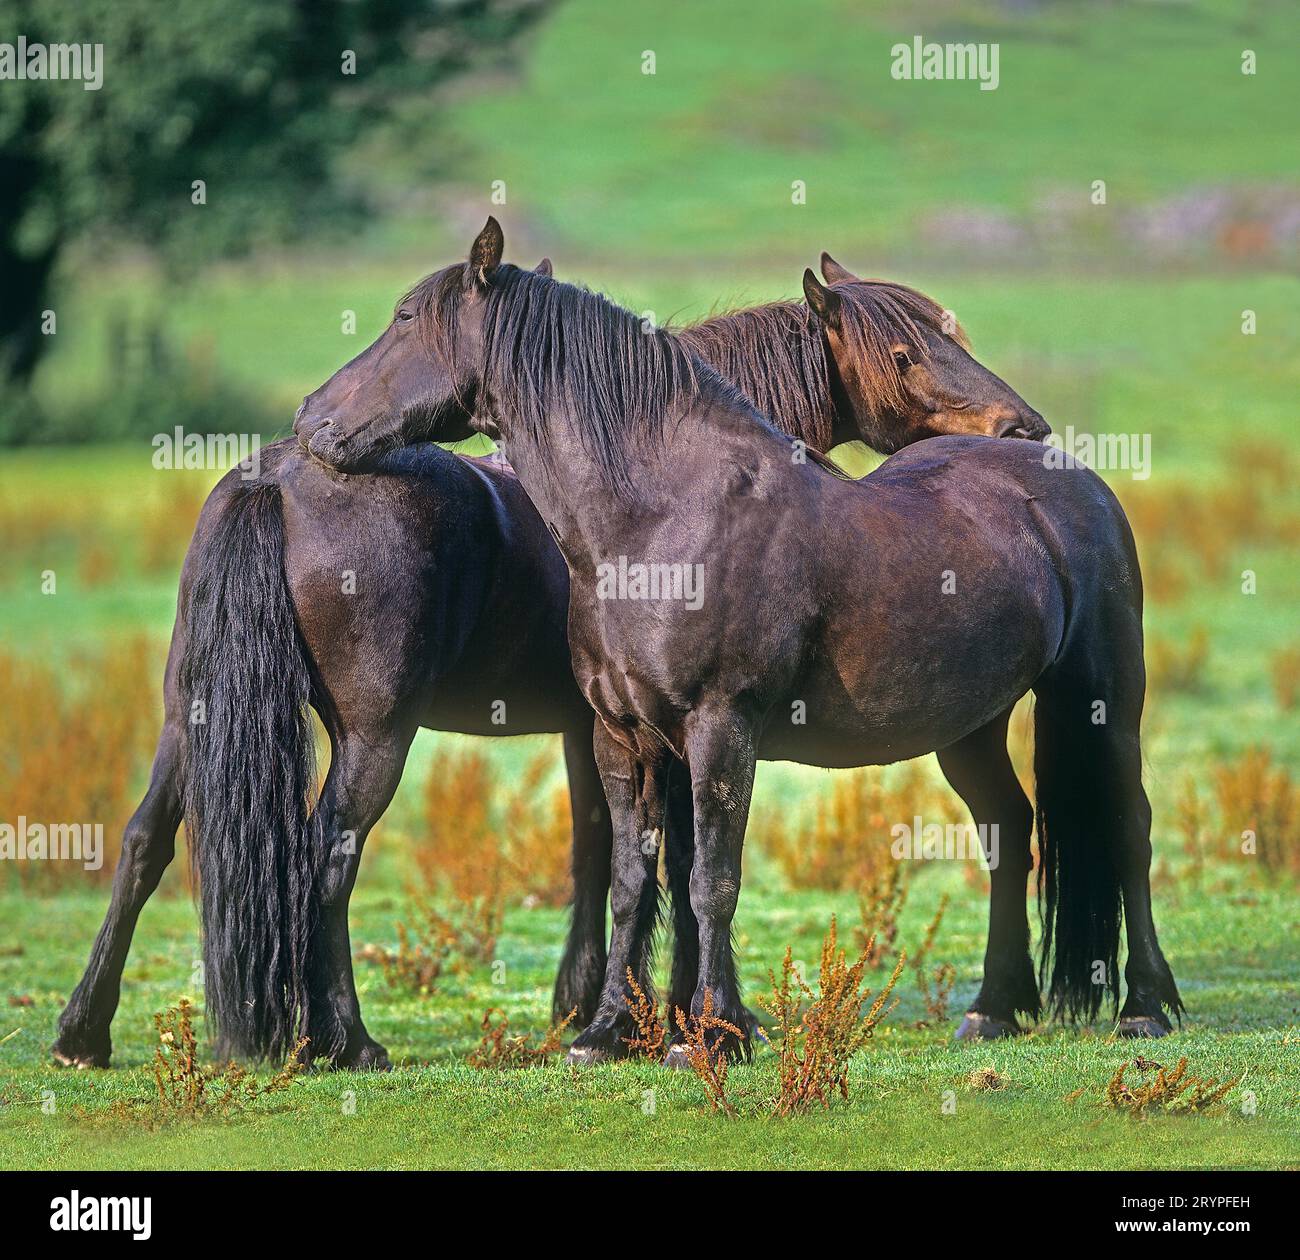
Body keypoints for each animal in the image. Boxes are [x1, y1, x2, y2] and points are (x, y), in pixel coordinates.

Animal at [55, 250, 1045, 1066]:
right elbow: (672, 864)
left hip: (191, 716)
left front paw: (619, 1012)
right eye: (905, 355)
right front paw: (677, 1016)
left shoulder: (609, 729)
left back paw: (82, 1035)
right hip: (374, 734)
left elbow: (617, 855)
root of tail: (272, 477)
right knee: (326, 850)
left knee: (144, 843)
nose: (1022, 430)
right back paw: (349, 1041)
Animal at [299, 221, 1185, 1066]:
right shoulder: (622, 738)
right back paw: (992, 1010)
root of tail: (1068, 477)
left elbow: (710, 883)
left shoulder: (721, 729)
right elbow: (632, 882)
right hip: (971, 725)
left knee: (1128, 826)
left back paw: (1143, 1008)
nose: (314, 420)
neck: (661, 522)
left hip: (1104, 698)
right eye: (904, 354)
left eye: (403, 319)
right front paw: (606, 1032)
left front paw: (712, 1033)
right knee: (1008, 831)